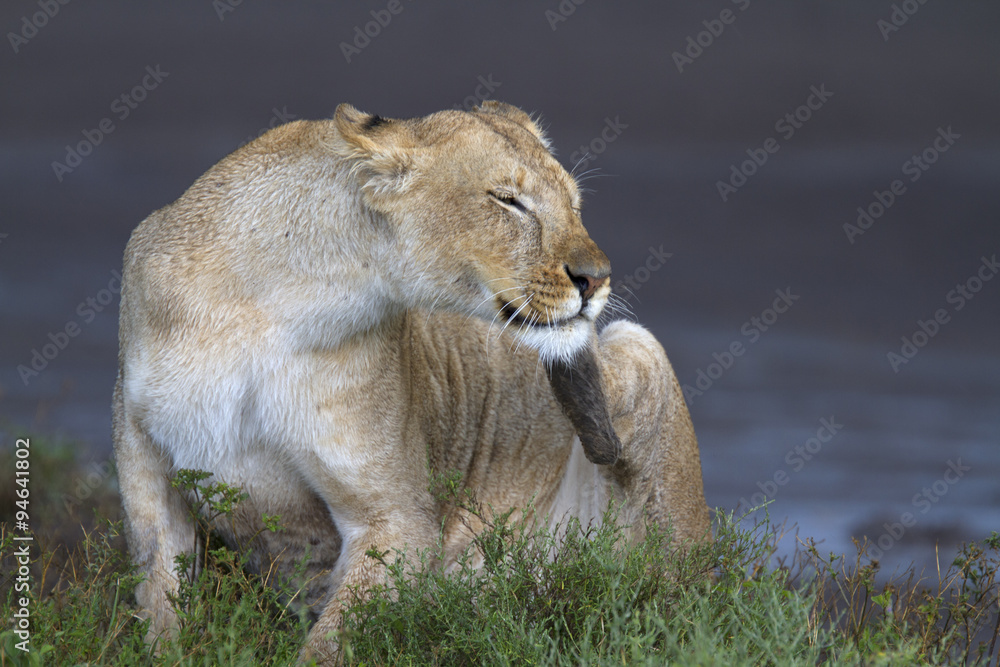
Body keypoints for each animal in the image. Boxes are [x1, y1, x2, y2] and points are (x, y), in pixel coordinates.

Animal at [112, 101, 710, 662]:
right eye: (508, 200)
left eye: (574, 205)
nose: (596, 279)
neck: (269, 309)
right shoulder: (145, 470)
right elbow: (160, 603)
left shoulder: (397, 520)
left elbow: (329, 645)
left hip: (639, 360)